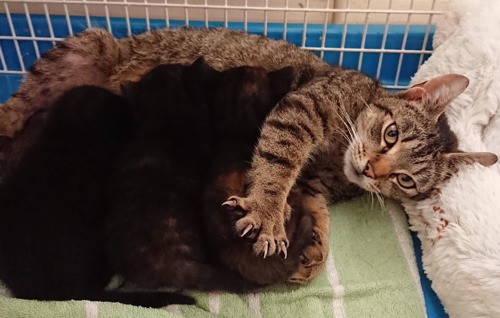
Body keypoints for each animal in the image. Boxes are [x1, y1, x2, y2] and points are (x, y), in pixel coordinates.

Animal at [0, 28, 494, 260]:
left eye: (407, 181)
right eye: (391, 134)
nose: (373, 170)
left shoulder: (317, 186)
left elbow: (308, 201)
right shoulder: (302, 107)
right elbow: (279, 162)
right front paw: (268, 214)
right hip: (83, 48)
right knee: (13, 110)